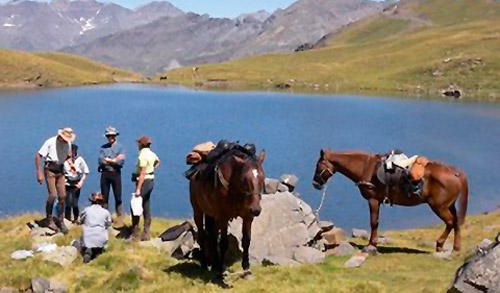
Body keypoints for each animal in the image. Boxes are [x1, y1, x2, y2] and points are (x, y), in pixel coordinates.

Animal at [189, 147, 266, 282]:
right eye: (245, 179)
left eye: (262, 178)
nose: (256, 209)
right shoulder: (223, 217)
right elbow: (224, 243)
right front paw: (220, 273)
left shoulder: (247, 217)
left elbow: (246, 241)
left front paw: (246, 269)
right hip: (198, 211)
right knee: (203, 235)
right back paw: (205, 264)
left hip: (212, 216)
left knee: (213, 236)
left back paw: (214, 264)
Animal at [312, 148, 468, 251]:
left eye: (318, 165)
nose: (315, 184)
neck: (365, 167)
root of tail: (455, 172)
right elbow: (376, 222)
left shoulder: (373, 200)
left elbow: (374, 222)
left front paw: (371, 245)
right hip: (450, 205)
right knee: (456, 223)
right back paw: (456, 247)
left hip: (439, 207)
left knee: (450, 222)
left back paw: (440, 244)